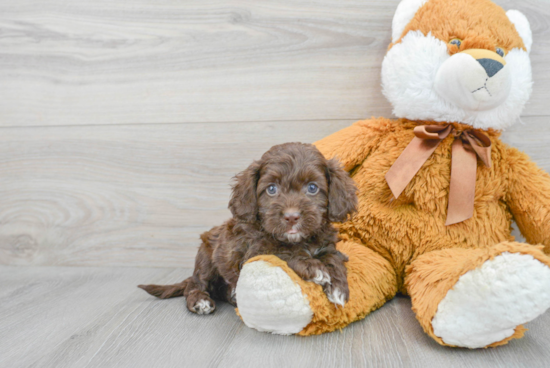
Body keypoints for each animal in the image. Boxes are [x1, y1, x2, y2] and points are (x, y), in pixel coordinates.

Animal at [140, 142, 360, 314]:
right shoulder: (255, 252)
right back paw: (200, 301)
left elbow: (334, 259)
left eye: (312, 188)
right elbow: (283, 254)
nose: (291, 217)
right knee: (196, 283)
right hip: (206, 257)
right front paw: (314, 268)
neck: (299, 240)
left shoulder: (327, 246)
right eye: (271, 189)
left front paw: (338, 287)